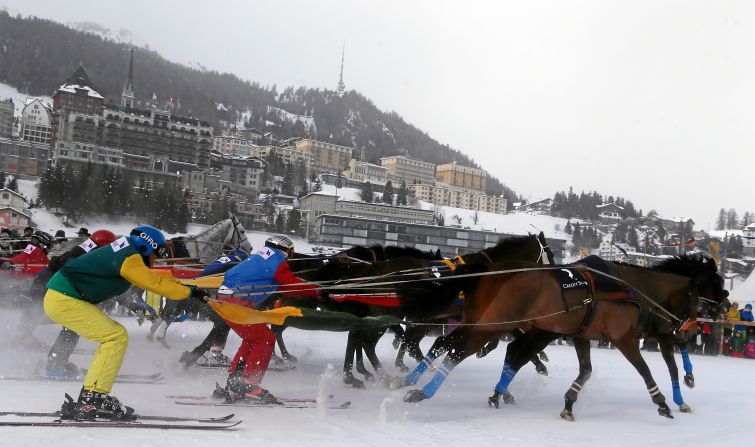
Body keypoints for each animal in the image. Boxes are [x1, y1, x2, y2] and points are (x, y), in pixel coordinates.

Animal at [402, 254, 728, 422]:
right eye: (712, 287)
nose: (689, 327)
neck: (632, 287)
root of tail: (492, 270)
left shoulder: (583, 334)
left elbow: (586, 370)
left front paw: (569, 403)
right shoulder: (625, 337)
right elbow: (646, 370)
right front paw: (662, 402)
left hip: (489, 321)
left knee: (459, 346)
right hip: (494, 324)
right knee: (458, 351)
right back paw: (423, 390)